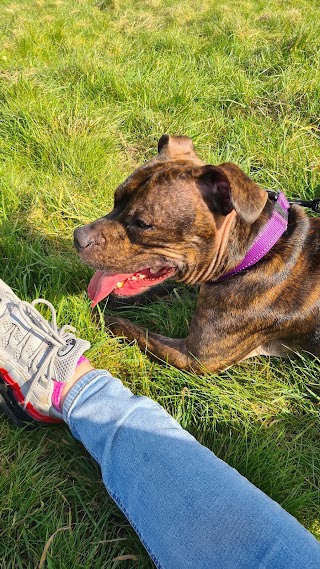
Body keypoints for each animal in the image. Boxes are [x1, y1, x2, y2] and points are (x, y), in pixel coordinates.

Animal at [74, 134, 320, 372]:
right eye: (115, 199)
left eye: (142, 224)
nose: (78, 237)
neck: (255, 252)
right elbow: (157, 289)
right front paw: (107, 301)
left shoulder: (193, 357)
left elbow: (130, 328)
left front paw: (94, 316)